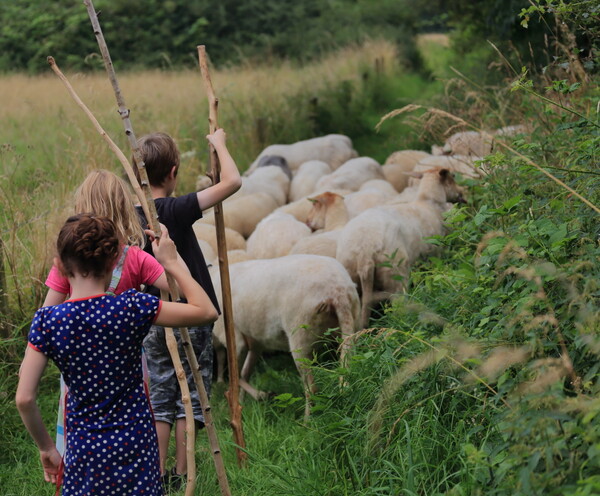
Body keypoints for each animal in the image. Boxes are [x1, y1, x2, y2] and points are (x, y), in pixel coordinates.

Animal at [211, 256, 360, 418]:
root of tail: (337, 291)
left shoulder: (234, 339)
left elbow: (235, 376)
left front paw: (260, 396)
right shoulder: (256, 343)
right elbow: (245, 373)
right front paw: (242, 403)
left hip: (299, 335)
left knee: (311, 389)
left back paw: (307, 421)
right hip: (350, 327)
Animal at [338, 169, 464, 328]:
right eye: (453, 176)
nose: (462, 192)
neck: (429, 202)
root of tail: (365, 249)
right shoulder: (437, 253)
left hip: (353, 276)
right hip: (396, 273)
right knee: (399, 306)